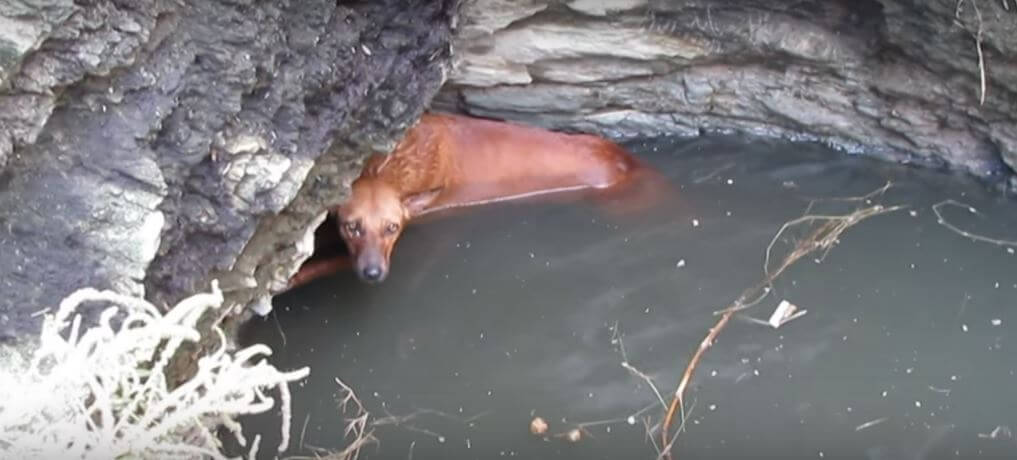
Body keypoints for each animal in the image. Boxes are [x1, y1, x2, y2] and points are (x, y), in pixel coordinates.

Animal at [290, 111, 663, 286]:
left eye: (392, 228)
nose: (372, 273)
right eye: (351, 227)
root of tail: (629, 161)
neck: (391, 165)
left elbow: (317, 266)